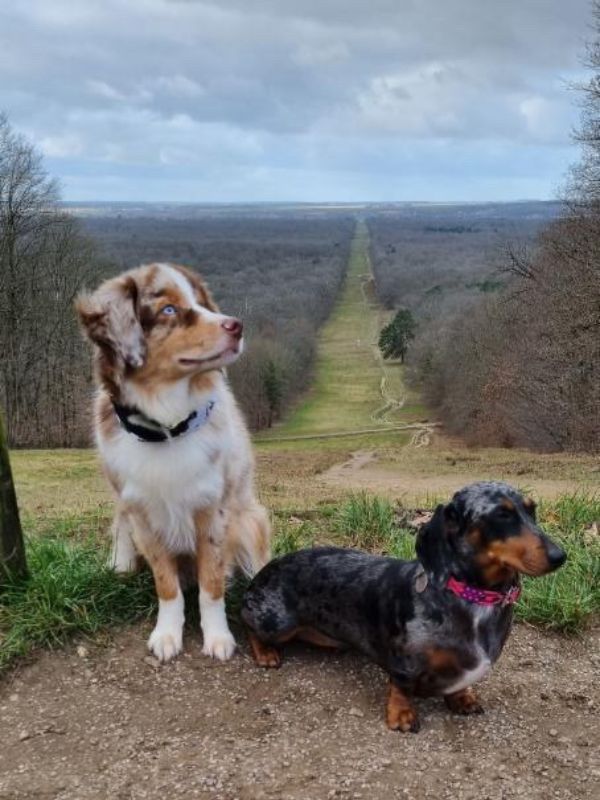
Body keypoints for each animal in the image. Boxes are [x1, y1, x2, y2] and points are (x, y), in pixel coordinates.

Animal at [77, 262, 270, 664]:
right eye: (168, 309)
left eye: (202, 302)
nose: (237, 325)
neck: (166, 425)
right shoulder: (142, 516)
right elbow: (166, 585)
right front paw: (167, 634)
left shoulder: (214, 512)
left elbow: (211, 584)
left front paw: (217, 637)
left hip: (250, 520)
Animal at [241, 482, 564, 732]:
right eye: (501, 514)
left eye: (532, 510)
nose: (561, 556)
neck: (473, 596)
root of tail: (263, 573)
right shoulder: (404, 662)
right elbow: (401, 686)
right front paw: (402, 714)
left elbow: (459, 685)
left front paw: (462, 698)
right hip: (276, 623)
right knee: (249, 625)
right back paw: (265, 653)